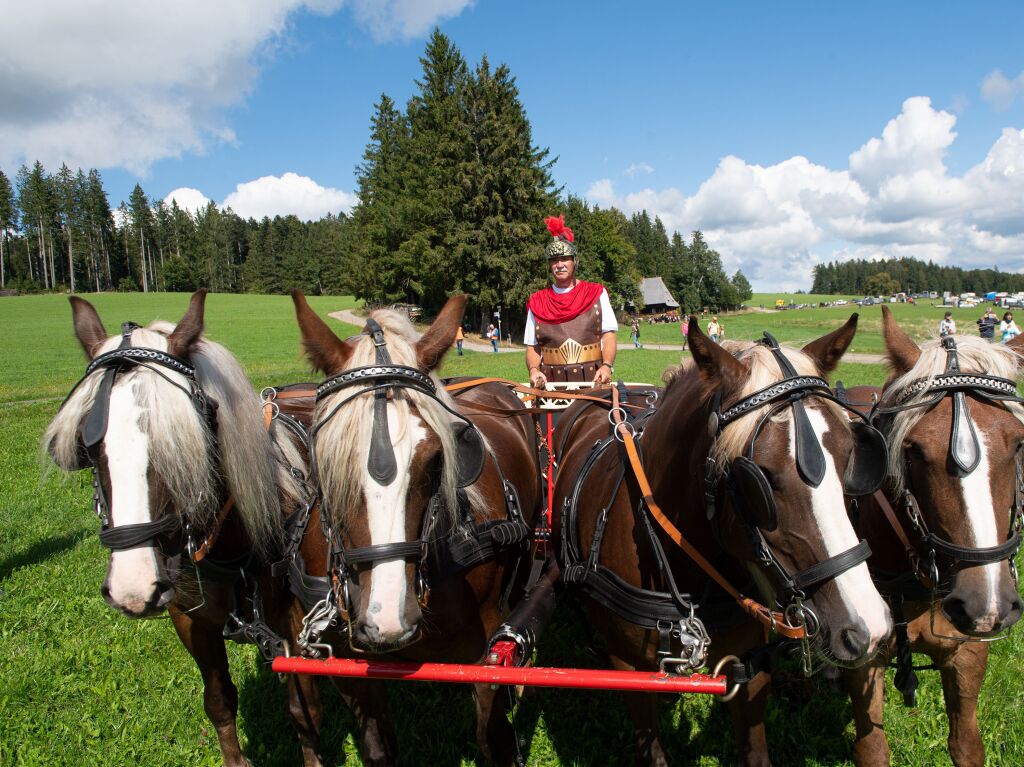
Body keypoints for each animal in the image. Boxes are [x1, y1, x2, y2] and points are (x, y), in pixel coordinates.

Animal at [45, 292, 331, 765]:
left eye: (190, 439)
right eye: (89, 444)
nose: (133, 588)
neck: (235, 542)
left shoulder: (295, 622)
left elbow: (303, 710)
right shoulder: (189, 619)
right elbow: (218, 701)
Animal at [288, 292, 544, 765]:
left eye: (436, 458)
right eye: (325, 454)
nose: (386, 620)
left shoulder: (484, 651)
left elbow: (493, 735)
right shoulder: (349, 668)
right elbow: (377, 747)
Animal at [839, 307, 1024, 765]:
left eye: (1017, 443)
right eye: (913, 450)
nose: (985, 604)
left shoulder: (967, 654)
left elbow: (966, 744)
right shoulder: (865, 661)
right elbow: (872, 747)